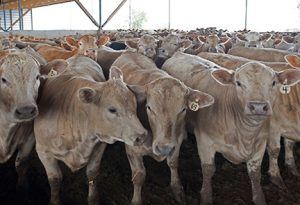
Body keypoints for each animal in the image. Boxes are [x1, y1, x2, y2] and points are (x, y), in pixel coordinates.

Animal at [34, 56, 148, 205]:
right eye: (112, 109)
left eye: (135, 105)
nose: (142, 135)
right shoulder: (43, 151)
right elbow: (55, 179)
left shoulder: (100, 145)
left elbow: (92, 173)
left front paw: (93, 199)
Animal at [111, 49, 214, 205]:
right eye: (149, 107)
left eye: (183, 109)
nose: (164, 148)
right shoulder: (132, 149)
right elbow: (139, 176)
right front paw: (136, 199)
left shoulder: (176, 141)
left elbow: (173, 163)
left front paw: (178, 190)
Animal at [163, 51, 300, 205]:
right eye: (238, 83)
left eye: (273, 83)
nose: (258, 106)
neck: (244, 133)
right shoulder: (205, 141)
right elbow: (208, 170)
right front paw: (206, 196)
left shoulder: (261, 142)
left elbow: (255, 173)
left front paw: (260, 197)